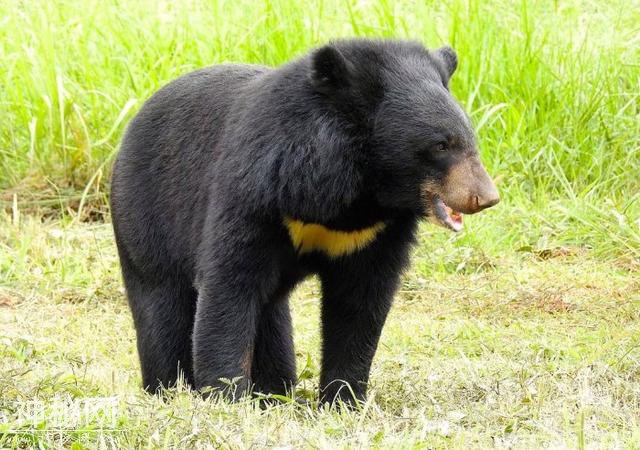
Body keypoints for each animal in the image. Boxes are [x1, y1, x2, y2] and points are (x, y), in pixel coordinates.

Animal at [110, 37, 500, 404]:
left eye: (470, 140)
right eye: (441, 145)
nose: (485, 196)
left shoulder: (375, 232)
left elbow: (360, 302)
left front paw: (344, 399)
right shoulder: (257, 192)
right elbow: (229, 284)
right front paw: (225, 396)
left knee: (272, 317)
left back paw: (274, 392)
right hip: (147, 218)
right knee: (162, 306)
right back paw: (167, 387)